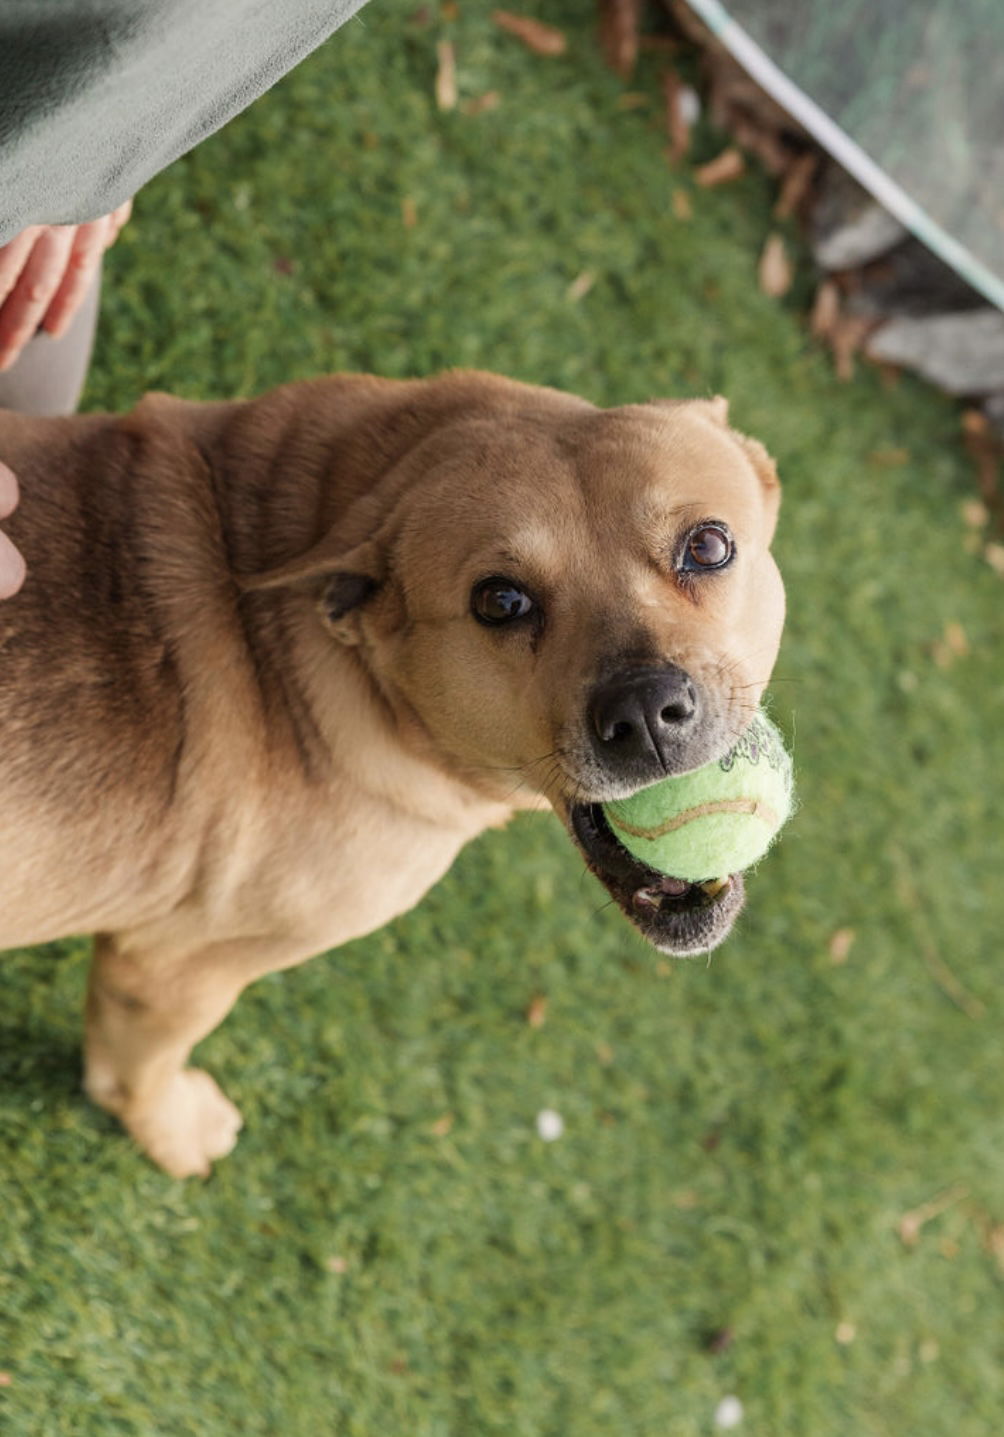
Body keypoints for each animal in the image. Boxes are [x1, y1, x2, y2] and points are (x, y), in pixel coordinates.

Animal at [0, 373, 787, 1178]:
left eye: (708, 545)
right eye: (500, 600)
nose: (646, 710)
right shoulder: (168, 965)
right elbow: (137, 1067)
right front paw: (172, 1131)